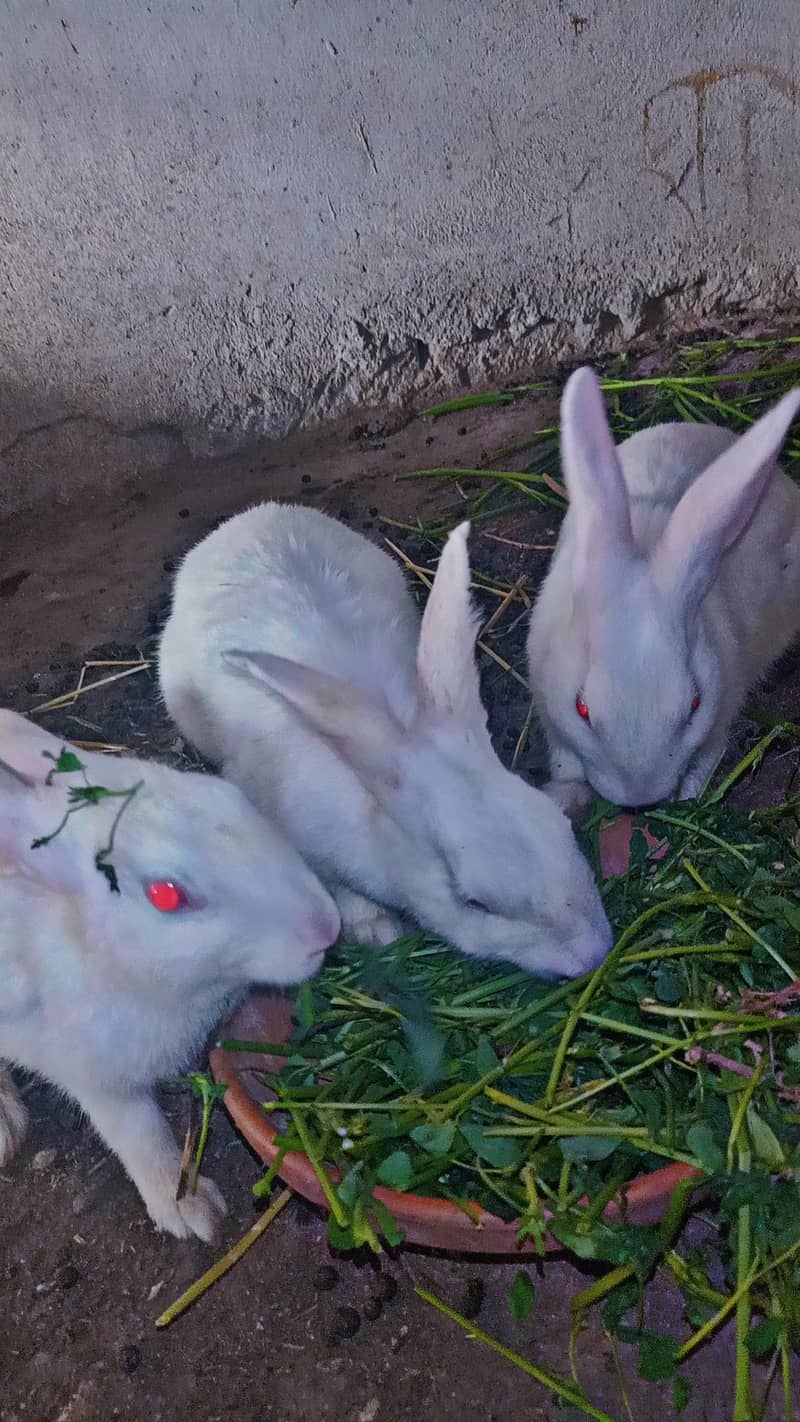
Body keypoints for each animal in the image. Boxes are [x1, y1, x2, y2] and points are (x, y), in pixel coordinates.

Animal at [0, 710, 340, 1240]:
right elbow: (140, 1134)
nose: (327, 926)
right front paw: (190, 1210)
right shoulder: (95, 1074)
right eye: (166, 895)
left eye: (227, 795)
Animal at [158, 501, 612, 979]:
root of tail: (251, 517)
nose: (593, 954)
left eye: (560, 826)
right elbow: (341, 893)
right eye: (475, 903)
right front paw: (378, 930)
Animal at [527, 366, 800, 817]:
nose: (640, 798)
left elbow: (703, 762)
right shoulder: (554, 719)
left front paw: (688, 799)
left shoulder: (720, 715)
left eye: (694, 705)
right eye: (582, 708)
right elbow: (565, 761)